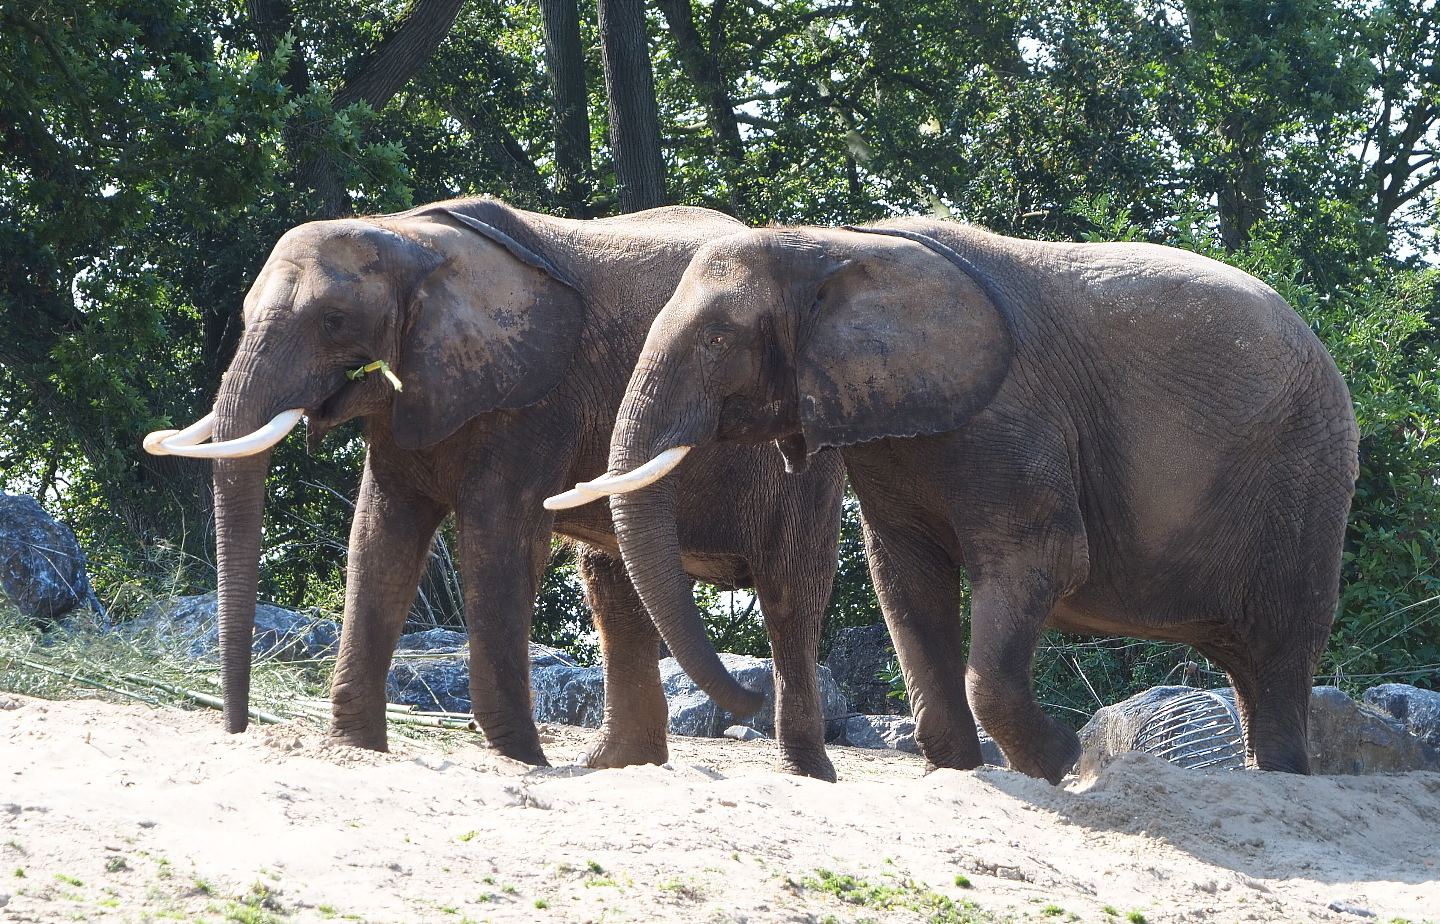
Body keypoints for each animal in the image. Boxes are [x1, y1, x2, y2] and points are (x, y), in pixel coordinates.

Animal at [144, 198, 847, 780]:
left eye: (335, 320)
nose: (235, 728)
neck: (411, 235)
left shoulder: (536, 398)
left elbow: (497, 539)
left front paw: (520, 758)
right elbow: (379, 536)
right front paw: (352, 747)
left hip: (809, 446)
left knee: (790, 592)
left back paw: (806, 774)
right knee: (615, 585)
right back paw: (616, 768)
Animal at [548, 218, 1359, 783]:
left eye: (718, 338)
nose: (743, 710)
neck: (836, 245)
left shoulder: (1008, 413)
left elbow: (1045, 558)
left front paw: (1066, 763)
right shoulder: (889, 425)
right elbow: (905, 576)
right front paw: (964, 771)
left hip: (1305, 472)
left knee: (1281, 646)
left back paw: (1280, 775)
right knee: (1253, 663)